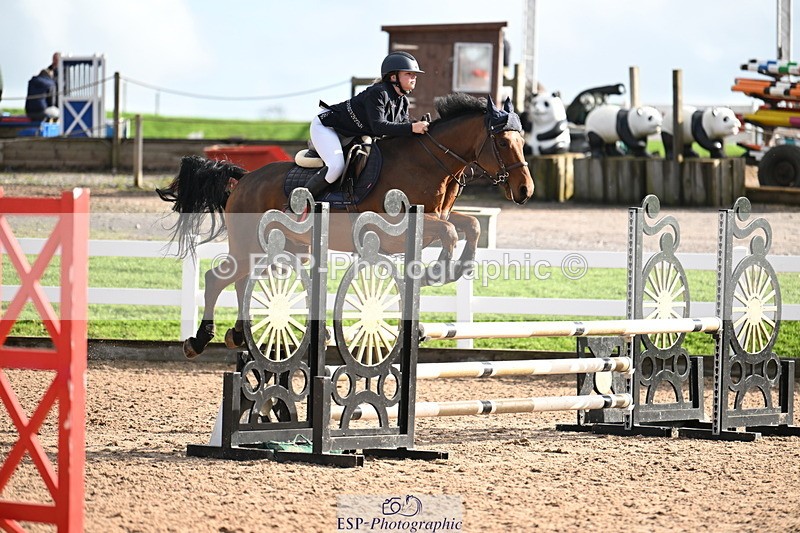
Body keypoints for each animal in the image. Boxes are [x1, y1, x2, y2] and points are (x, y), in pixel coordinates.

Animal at [157, 93, 534, 358]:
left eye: (522, 141)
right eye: (503, 142)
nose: (525, 191)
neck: (428, 163)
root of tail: (246, 178)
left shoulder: (436, 216)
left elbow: (469, 226)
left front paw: (456, 269)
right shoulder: (398, 228)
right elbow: (451, 232)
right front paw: (436, 272)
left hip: (280, 249)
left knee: (241, 281)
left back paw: (237, 334)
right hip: (248, 244)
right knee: (217, 278)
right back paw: (198, 340)